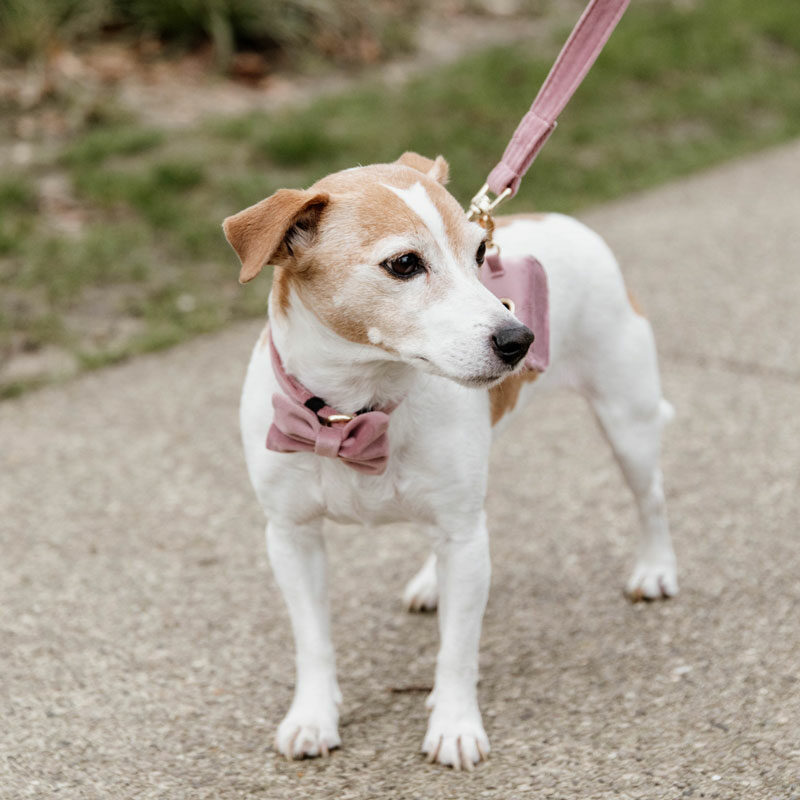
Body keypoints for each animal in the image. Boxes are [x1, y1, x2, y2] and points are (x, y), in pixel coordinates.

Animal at [222, 150, 680, 768]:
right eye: (404, 264)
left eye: (480, 253)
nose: (519, 339)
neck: (354, 414)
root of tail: (561, 219)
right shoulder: (292, 538)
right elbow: (312, 642)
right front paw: (312, 716)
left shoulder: (464, 540)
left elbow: (457, 650)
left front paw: (455, 724)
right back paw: (429, 581)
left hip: (626, 420)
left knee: (649, 497)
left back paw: (655, 569)